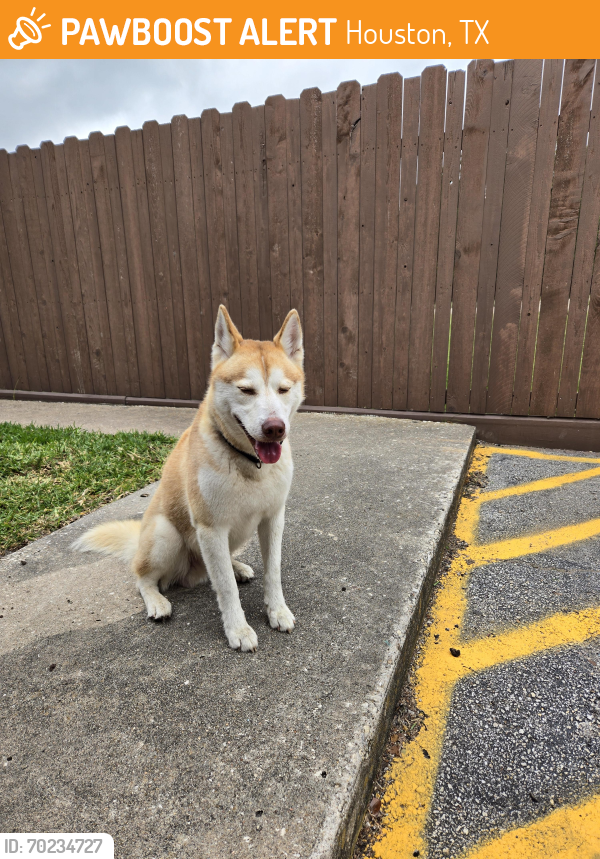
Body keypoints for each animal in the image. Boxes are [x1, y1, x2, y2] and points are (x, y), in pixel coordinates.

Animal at [74, 308, 304, 652]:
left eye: (284, 389)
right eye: (246, 390)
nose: (275, 428)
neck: (249, 462)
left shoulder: (273, 518)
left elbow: (272, 571)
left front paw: (277, 611)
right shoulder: (210, 527)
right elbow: (226, 588)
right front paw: (238, 629)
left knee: (219, 564)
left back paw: (236, 566)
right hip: (165, 535)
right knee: (143, 577)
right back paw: (157, 601)